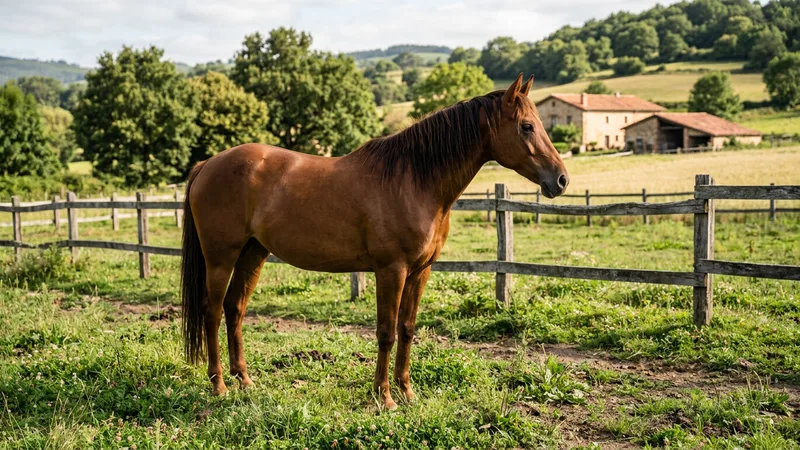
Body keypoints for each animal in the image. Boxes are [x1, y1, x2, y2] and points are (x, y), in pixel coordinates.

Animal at [180, 73, 569, 410]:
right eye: (527, 126)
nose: (561, 180)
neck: (413, 179)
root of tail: (208, 164)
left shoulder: (420, 272)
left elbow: (407, 329)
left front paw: (407, 391)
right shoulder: (391, 270)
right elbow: (386, 332)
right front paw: (384, 396)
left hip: (253, 253)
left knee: (235, 308)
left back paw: (245, 380)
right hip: (221, 257)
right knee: (212, 311)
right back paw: (219, 385)